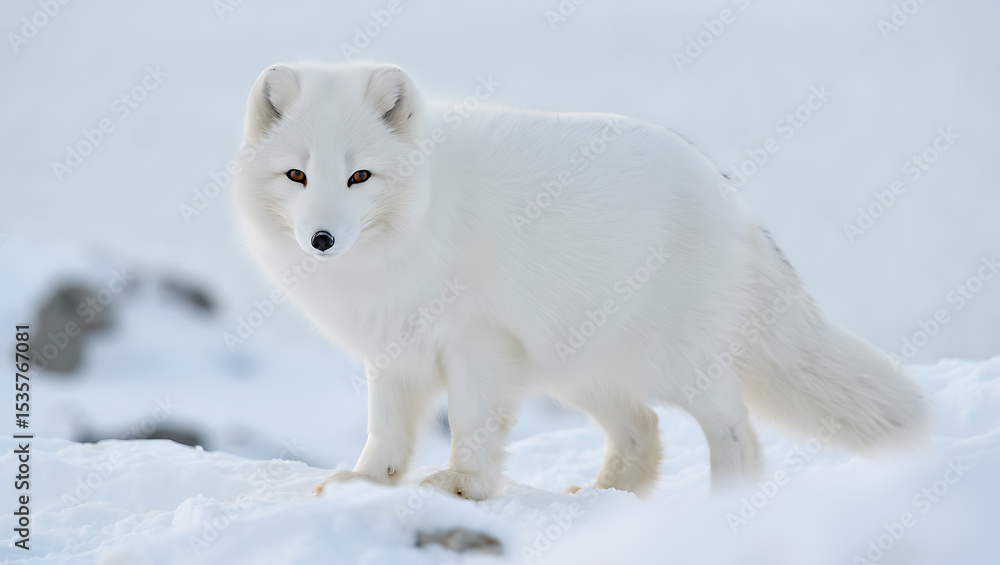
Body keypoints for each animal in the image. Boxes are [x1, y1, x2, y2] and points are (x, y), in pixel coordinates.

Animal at [232, 62, 930, 501]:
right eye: (296, 175)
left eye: (360, 177)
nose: (322, 240)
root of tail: (729, 194)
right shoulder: (393, 349)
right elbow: (387, 431)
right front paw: (368, 483)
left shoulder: (476, 342)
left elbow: (472, 425)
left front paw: (464, 487)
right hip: (576, 365)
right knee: (643, 429)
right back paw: (608, 495)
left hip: (671, 362)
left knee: (736, 430)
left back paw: (722, 507)